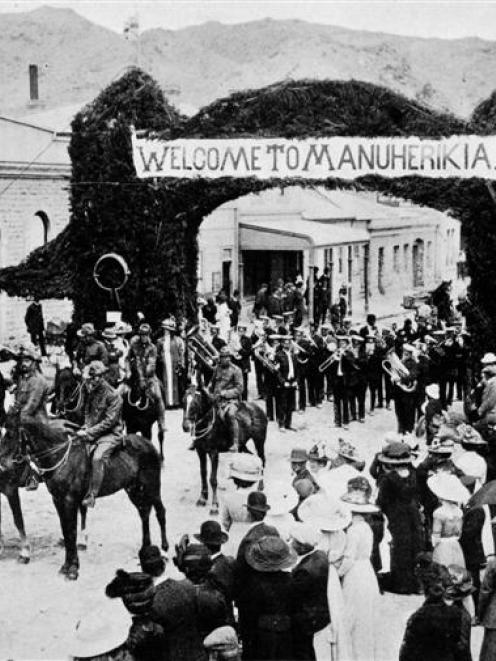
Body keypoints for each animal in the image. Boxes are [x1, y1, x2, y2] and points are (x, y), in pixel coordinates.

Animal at [1, 412, 169, 576]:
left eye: (10, 434)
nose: (3, 466)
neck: (62, 457)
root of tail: (147, 444)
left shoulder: (70, 500)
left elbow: (71, 532)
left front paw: (73, 568)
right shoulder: (58, 500)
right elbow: (66, 531)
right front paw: (66, 566)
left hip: (152, 487)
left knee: (160, 511)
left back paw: (165, 550)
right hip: (134, 489)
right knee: (144, 512)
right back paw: (145, 548)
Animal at [182, 386, 268, 516]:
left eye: (195, 404)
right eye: (183, 402)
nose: (185, 426)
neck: (208, 423)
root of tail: (257, 408)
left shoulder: (214, 453)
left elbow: (213, 479)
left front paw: (214, 506)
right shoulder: (200, 452)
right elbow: (203, 474)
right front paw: (202, 499)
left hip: (259, 441)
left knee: (262, 460)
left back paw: (260, 486)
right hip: (242, 446)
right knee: (252, 457)